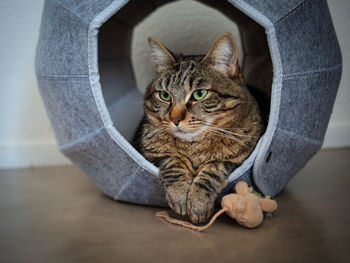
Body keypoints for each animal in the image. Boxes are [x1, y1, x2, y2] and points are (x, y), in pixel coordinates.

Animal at [137, 32, 262, 224]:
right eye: (165, 95)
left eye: (199, 94)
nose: (175, 119)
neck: (194, 146)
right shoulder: (152, 154)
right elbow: (173, 162)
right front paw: (180, 193)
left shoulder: (238, 159)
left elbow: (213, 169)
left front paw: (198, 202)